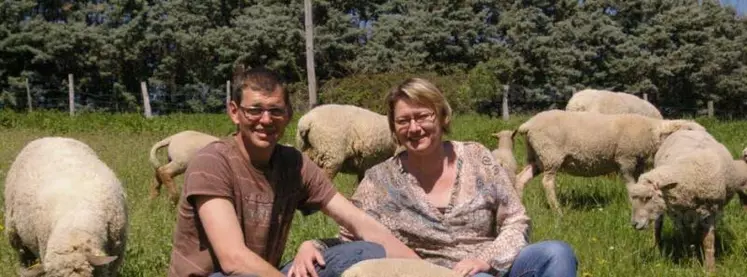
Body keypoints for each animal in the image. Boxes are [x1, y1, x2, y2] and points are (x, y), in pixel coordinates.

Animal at [516, 109, 708, 213]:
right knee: (547, 182)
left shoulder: (637, 163)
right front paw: (631, 202)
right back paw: (557, 210)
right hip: (550, 156)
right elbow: (630, 184)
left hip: (537, 157)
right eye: (689, 129)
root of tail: (528, 125)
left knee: (520, 178)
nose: (706, 139)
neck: (652, 133)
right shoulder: (626, 159)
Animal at [624, 129, 744, 272]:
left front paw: (710, 268)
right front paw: (692, 262)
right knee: (658, 225)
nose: (634, 224)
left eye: (648, 197)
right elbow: (687, 239)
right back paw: (656, 246)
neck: (688, 172)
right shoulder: (677, 215)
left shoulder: (711, 212)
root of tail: (685, 129)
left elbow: (708, 242)